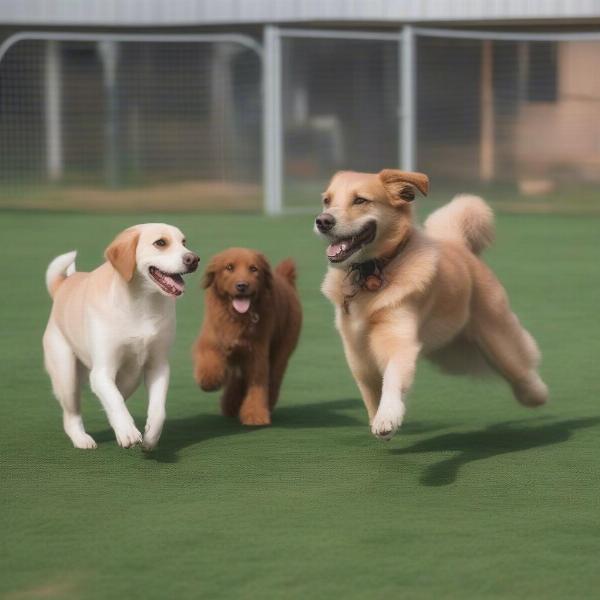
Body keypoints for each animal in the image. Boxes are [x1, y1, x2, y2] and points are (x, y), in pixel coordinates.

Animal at [43, 225, 202, 450]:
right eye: (160, 243)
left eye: (184, 242)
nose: (194, 259)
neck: (141, 303)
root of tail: (62, 286)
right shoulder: (101, 373)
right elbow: (115, 401)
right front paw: (127, 432)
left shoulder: (158, 366)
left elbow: (157, 410)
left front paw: (150, 436)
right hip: (67, 377)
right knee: (71, 415)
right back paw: (82, 439)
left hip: (130, 379)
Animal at [195, 248, 302, 426]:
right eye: (229, 267)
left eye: (253, 269)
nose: (242, 285)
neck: (238, 318)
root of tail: (284, 278)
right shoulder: (211, 339)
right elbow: (209, 358)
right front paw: (209, 380)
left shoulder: (257, 354)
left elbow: (257, 385)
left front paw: (255, 414)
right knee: (237, 379)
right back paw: (230, 404)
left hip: (281, 348)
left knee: (274, 377)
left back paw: (266, 403)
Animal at [314, 170, 548, 440]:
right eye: (327, 201)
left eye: (360, 200)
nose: (322, 221)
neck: (373, 271)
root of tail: (458, 244)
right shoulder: (356, 348)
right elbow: (369, 388)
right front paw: (378, 418)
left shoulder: (399, 338)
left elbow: (392, 378)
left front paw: (387, 417)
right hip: (451, 354)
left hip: (497, 340)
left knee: (521, 363)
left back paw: (537, 393)